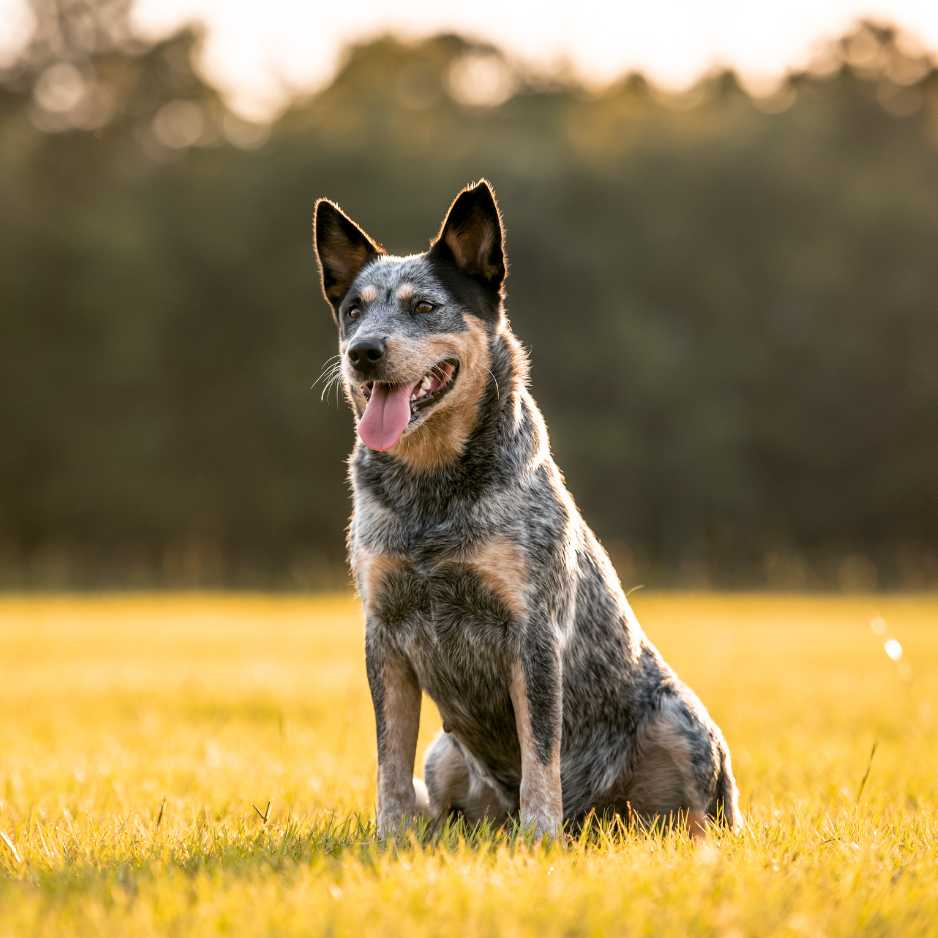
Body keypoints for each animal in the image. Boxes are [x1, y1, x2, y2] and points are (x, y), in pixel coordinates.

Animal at [310, 179, 744, 836]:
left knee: (698, 812)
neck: (431, 495)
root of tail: (594, 818)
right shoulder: (383, 633)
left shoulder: (532, 629)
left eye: (424, 307)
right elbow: (389, 758)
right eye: (354, 309)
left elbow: (541, 750)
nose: (363, 352)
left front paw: (539, 837)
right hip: (446, 753)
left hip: (682, 725)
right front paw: (390, 838)